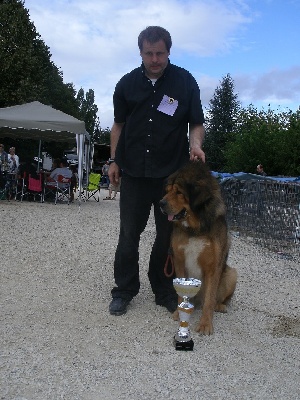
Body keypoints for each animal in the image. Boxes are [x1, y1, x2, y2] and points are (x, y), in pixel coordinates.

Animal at [158, 162, 238, 334]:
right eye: (168, 191)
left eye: (179, 192)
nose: (161, 203)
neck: (195, 228)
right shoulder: (179, 260)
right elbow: (181, 297)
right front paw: (179, 313)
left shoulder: (213, 266)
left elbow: (209, 299)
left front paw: (205, 324)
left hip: (231, 274)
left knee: (217, 299)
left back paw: (220, 306)